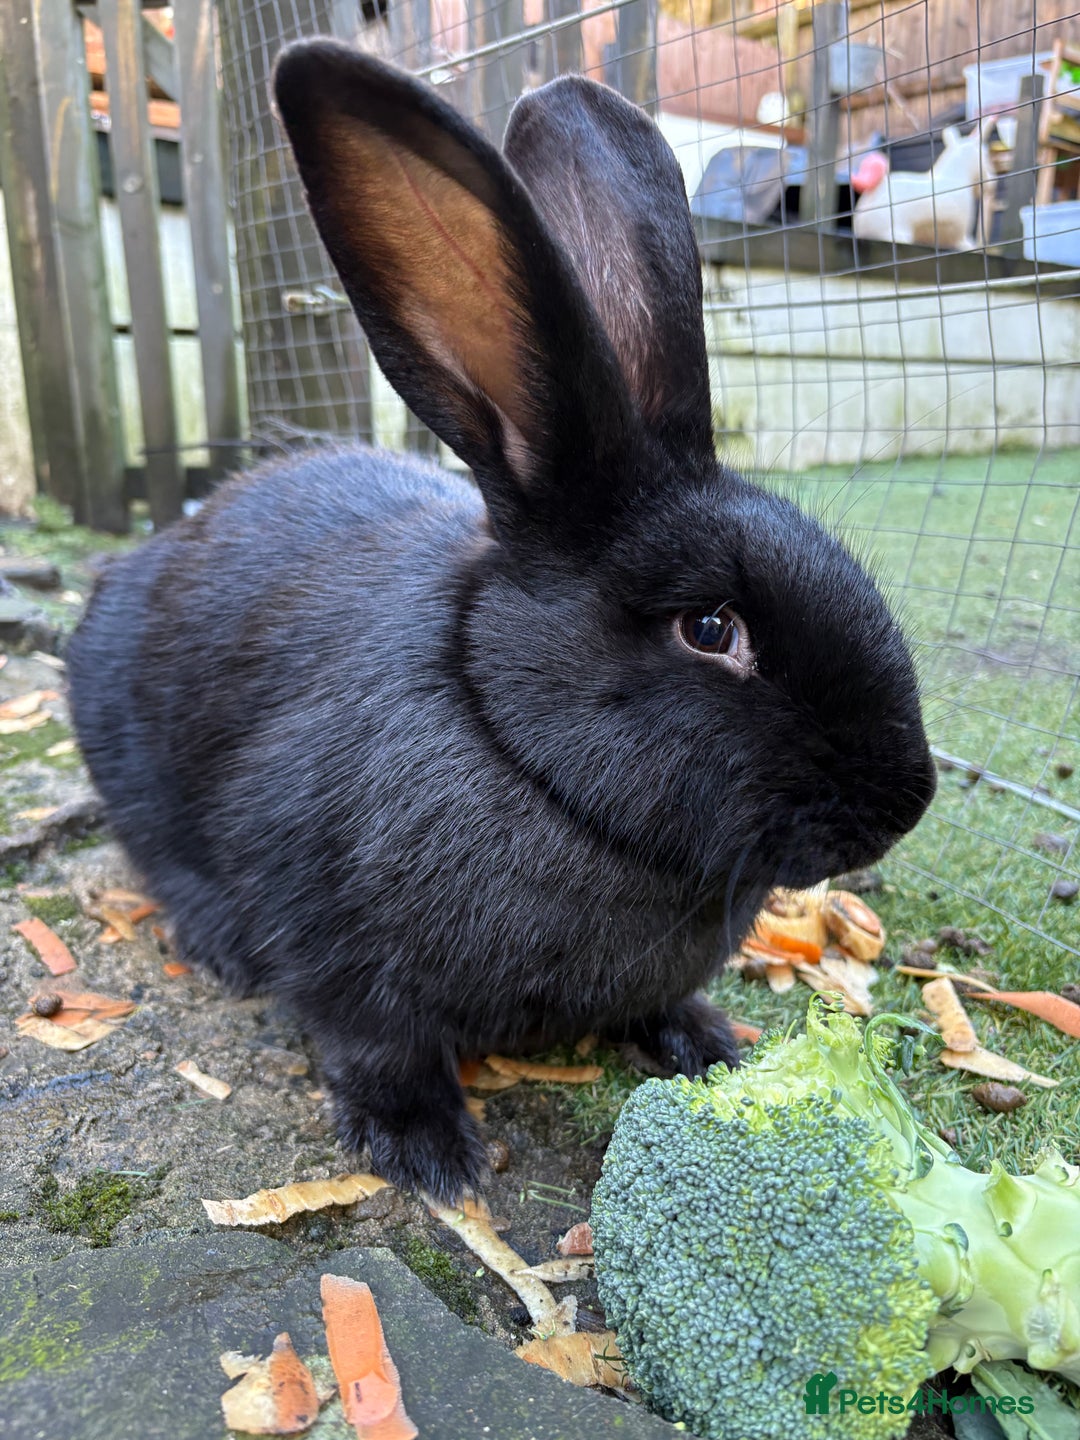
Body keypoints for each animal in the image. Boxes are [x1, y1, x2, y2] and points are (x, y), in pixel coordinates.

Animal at [66, 40, 937, 1204]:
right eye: (711, 629)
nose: (907, 801)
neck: (512, 746)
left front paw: (712, 1044)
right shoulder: (339, 952)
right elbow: (374, 1046)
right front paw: (431, 1153)